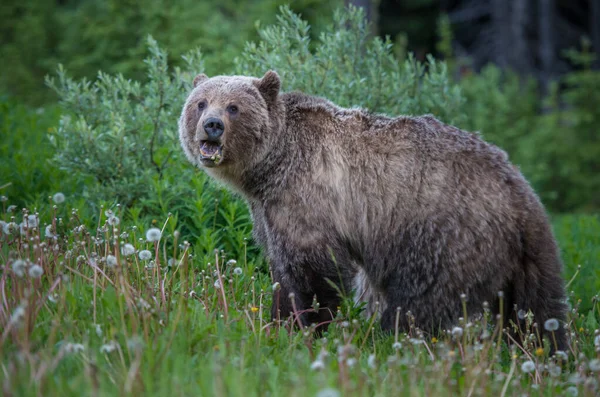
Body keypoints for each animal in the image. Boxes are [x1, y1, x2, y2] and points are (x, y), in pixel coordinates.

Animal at [178, 71, 568, 350]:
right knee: (538, 309)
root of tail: (522, 198)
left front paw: (311, 326)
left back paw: (389, 342)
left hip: (444, 237)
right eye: (201, 102)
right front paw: (278, 323)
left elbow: (314, 270)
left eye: (234, 107)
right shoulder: (268, 210)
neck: (271, 167)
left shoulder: (308, 197)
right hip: (527, 258)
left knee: (416, 303)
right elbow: (282, 270)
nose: (212, 125)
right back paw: (547, 353)